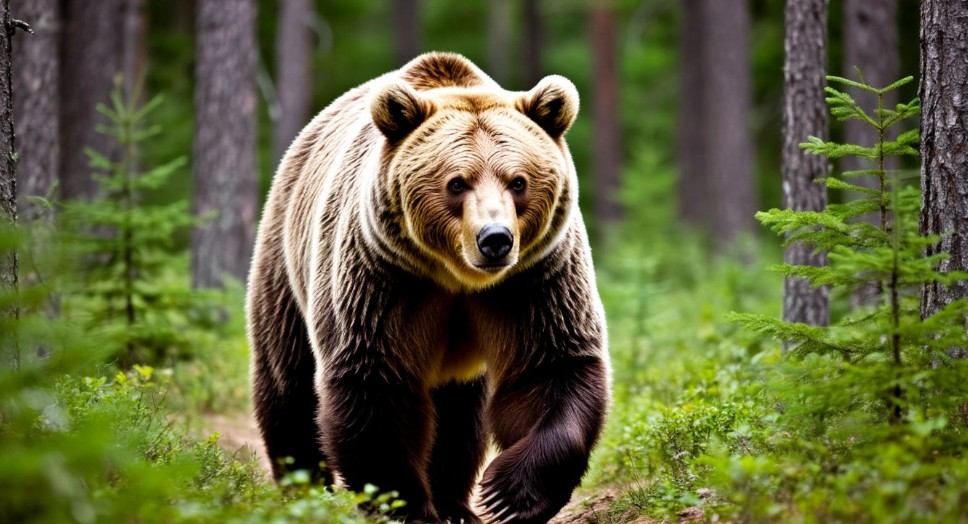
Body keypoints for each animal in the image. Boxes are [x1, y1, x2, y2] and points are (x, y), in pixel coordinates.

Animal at [246, 52, 610, 524]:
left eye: (518, 181)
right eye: (457, 182)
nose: (495, 238)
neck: (459, 277)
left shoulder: (534, 279)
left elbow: (551, 366)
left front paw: (509, 495)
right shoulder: (382, 278)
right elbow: (373, 382)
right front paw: (405, 505)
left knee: (460, 414)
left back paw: (455, 502)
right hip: (285, 264)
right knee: (287, 381)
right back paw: (302, 489)